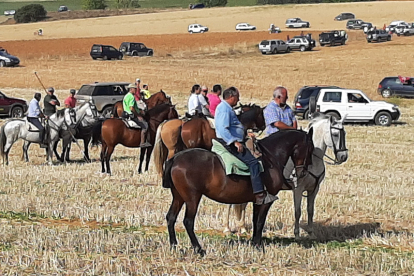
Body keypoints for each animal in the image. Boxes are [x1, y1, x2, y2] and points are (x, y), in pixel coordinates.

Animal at [162, 128, 314, 256]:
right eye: (310, 149)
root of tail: (175, 158)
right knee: (188, 221)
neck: (270, 158)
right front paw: (258, 245)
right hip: (192, 198)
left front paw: (254, 243)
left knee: (171, 217)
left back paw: (174, 246)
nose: (303, 172)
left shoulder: (257, 201)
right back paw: (199, 249)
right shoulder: (266, 202)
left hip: (178, 197)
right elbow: (260, 222)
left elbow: (255, 220)